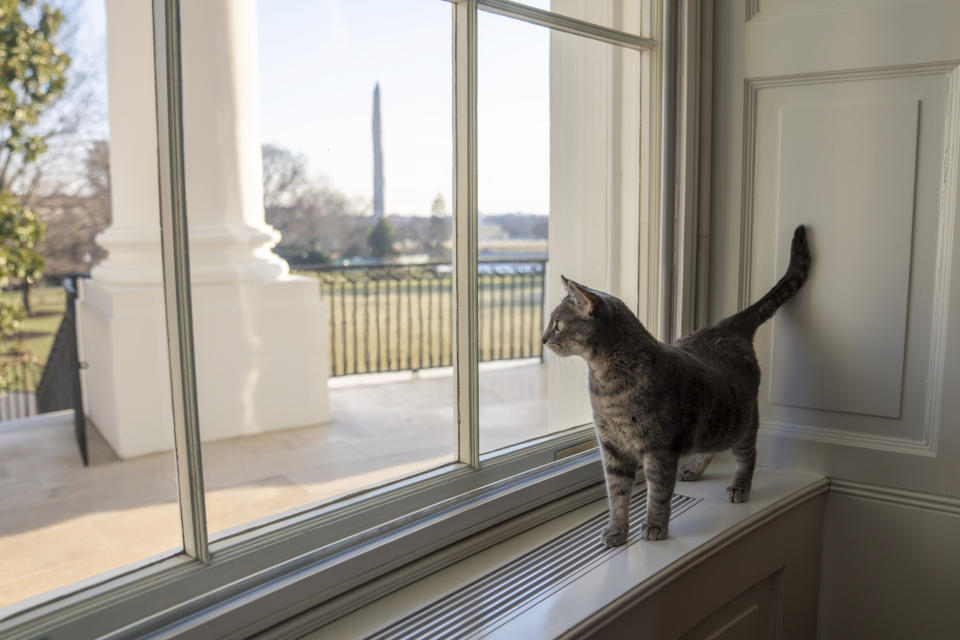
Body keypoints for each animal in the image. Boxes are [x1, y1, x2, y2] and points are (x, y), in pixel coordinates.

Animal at [544, 224, 808, 544]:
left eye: (558, 324)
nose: (542, 339)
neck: (605, 381)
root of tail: (727, 326)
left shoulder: (660, 448)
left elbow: (658, 493)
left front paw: (655, 526)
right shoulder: (612, 446)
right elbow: (617, 494)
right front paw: (617, 530)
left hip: (742, 423)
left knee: (749, 454)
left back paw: (740, 485)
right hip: (716, 428)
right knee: (709, 448)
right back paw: (693, 469)